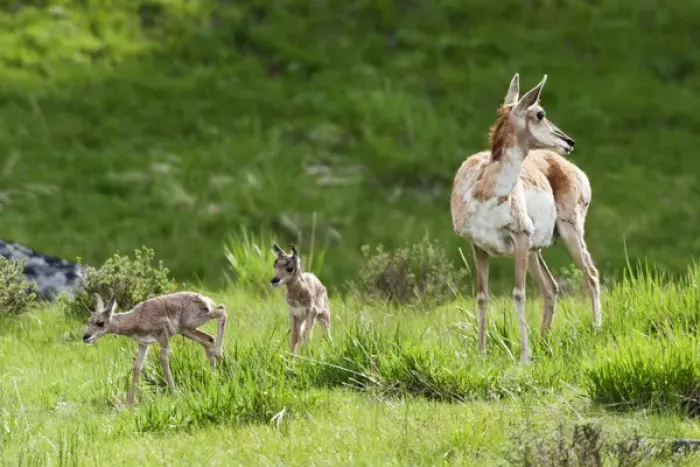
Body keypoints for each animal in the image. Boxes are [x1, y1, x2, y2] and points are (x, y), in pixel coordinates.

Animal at [82, 292, 228, 407]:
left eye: (100, 323)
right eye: (88, 321)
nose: (85, 337)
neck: (136, 317)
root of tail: (204, 298)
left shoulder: (163, 336)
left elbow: (163, 360)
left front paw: (174, 393)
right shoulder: (143, 344)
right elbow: (137, 368)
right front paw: (129, 404)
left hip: (191, 324)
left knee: (221, 311)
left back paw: (219, 354)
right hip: (187, 330)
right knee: (209, 340)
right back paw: (216, 374)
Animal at [450, 73, 601, 362]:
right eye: (540, 113)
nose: (569, 141)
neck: (485, 190)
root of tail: (572, 169)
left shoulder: (519, 236)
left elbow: (518, 294)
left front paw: (524, 357)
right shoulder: (478, 246)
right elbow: (482, 296)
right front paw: (480, 352)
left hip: (569, 234)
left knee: (590, 274)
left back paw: (596, 328)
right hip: (534, 251)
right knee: (550, 287)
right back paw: (544, 341)